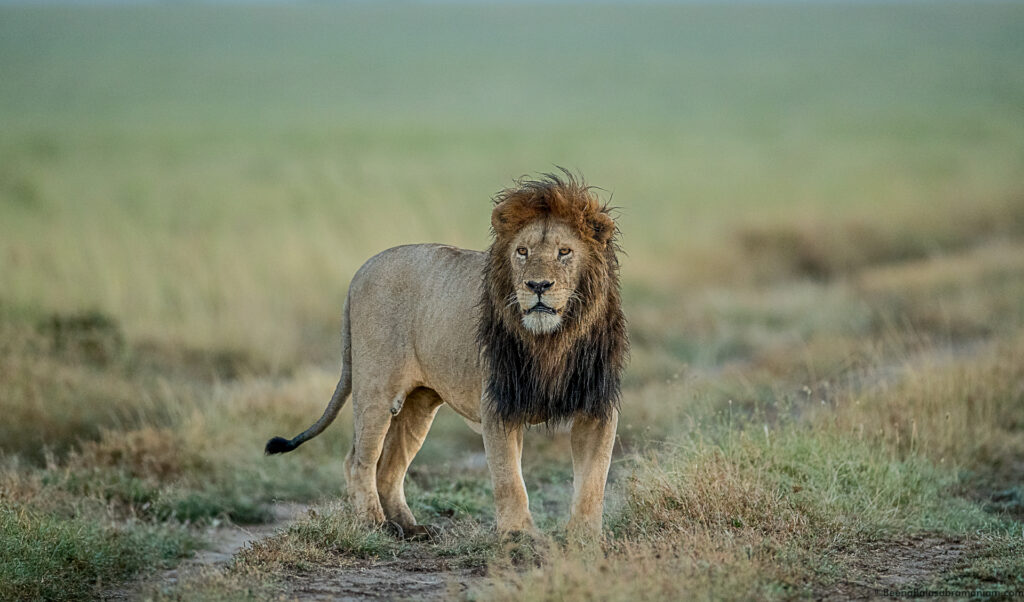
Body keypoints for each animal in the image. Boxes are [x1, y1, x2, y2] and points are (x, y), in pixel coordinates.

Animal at [264, 170, 626, 540]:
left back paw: (410, 527)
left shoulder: (597, 407)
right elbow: (509, 479)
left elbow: (593, 480)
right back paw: (374, 524)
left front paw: (587, 538)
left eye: (564, 251)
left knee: (389, 468)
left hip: (419, 404)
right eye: (522, 252)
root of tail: (361, 271)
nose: (537, 286)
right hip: (375, 390)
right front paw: (519, 537)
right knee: (359, 460)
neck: (552, 339)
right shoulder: (497, 405)